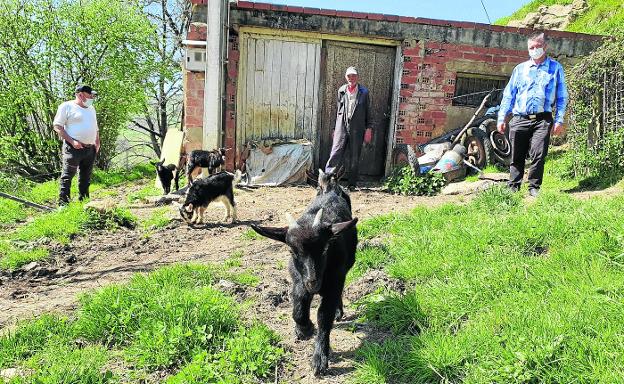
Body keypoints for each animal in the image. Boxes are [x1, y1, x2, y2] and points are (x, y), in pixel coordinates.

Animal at [249, 188, 356, 376]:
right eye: (292, 251)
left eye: (325, 248)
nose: (313, 283)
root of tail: (331, 190)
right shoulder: (298, 278)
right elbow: (298, 304)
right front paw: (304, 329)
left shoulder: (335, 280)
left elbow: (324, 316)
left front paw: (319, 359)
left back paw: (338, 311)